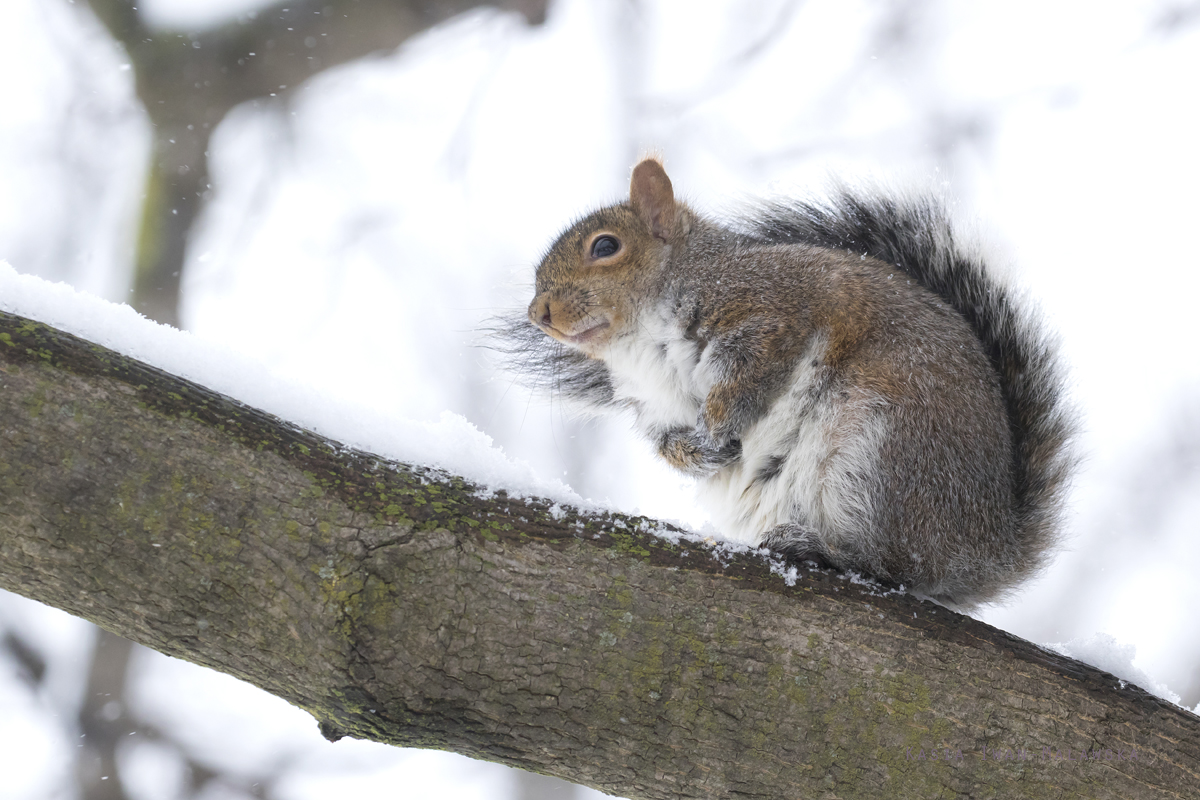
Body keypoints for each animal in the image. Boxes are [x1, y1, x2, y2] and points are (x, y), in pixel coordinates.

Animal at [501, 158, 1075, 606]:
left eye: (605, 247)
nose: (538, 313)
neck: (640, 347)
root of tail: (988, 551)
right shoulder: (657, 409)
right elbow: (669, 445)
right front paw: (701, 453)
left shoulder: (772, 317)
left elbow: (748, 381)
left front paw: (718, 430)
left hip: (881, 451)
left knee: (898, 568)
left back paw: (819, 550)